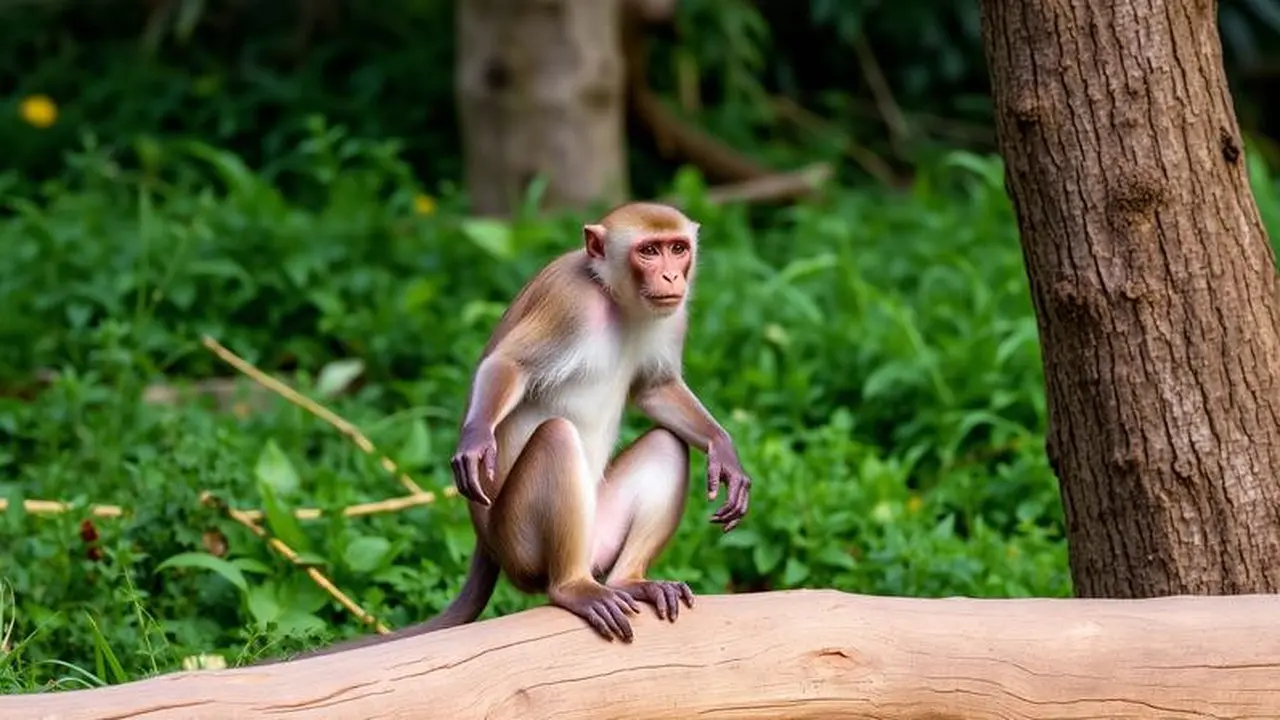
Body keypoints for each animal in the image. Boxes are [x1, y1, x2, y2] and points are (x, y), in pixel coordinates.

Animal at [262, 201, 751, 663]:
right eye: (648, 251)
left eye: (677, 248)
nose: (670, 275)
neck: (614, 296)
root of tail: (488, 543)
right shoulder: (570, 301)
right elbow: (507, 365)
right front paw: (476, 439)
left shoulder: (673, 315)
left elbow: (655, 390)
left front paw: (724, 451)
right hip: (521, 544)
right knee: (557, 437)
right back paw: (572, 587)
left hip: (599, 533)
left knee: (667, 443)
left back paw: (631, 581)